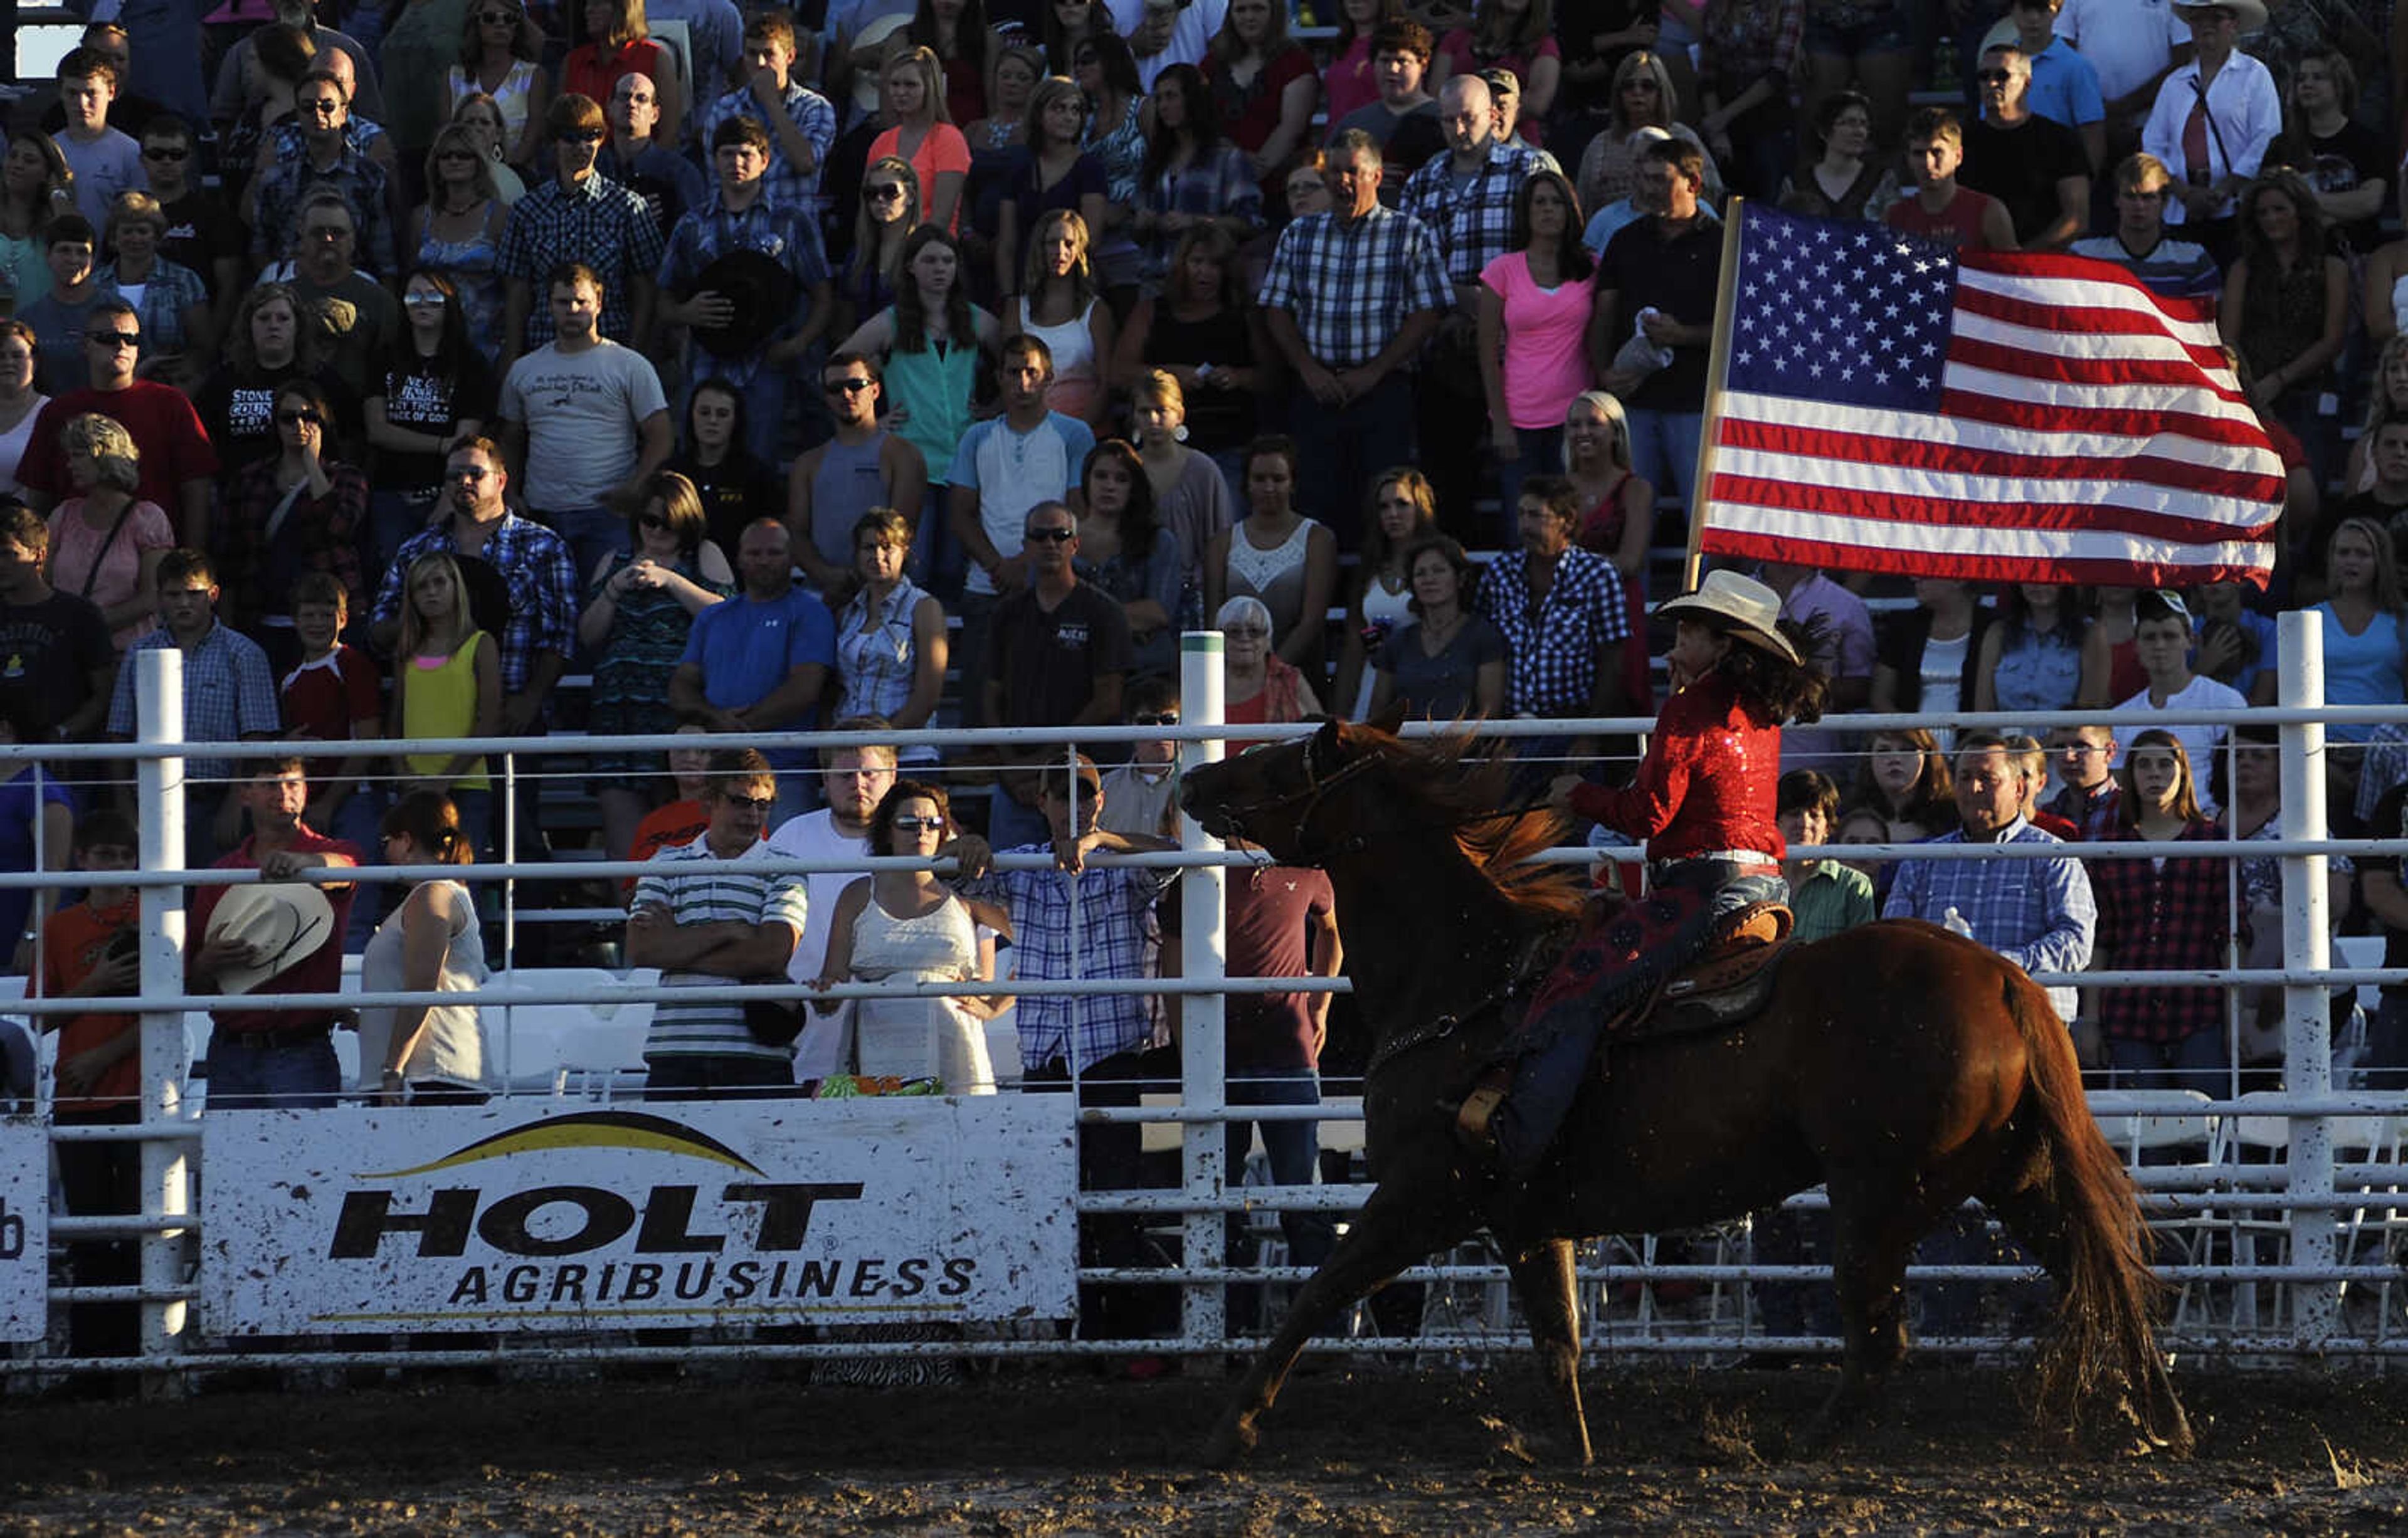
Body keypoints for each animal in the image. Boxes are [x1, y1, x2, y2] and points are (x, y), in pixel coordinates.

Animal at [1175, 717, 2196, 1463]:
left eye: (1284, 757)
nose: (1194, 781)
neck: (1466, 982)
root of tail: (1999, 978)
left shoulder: (1424, 1191)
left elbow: (1320, 1290)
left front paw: (1231, 1426)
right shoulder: (1527, 1218)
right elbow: (1558, 1338)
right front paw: (1578, 1452)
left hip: (1877, 1194)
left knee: (1883, 1339)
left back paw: (1797, 1446)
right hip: (2014, 1176)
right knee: (2102, 1273)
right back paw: (2163, 1421)